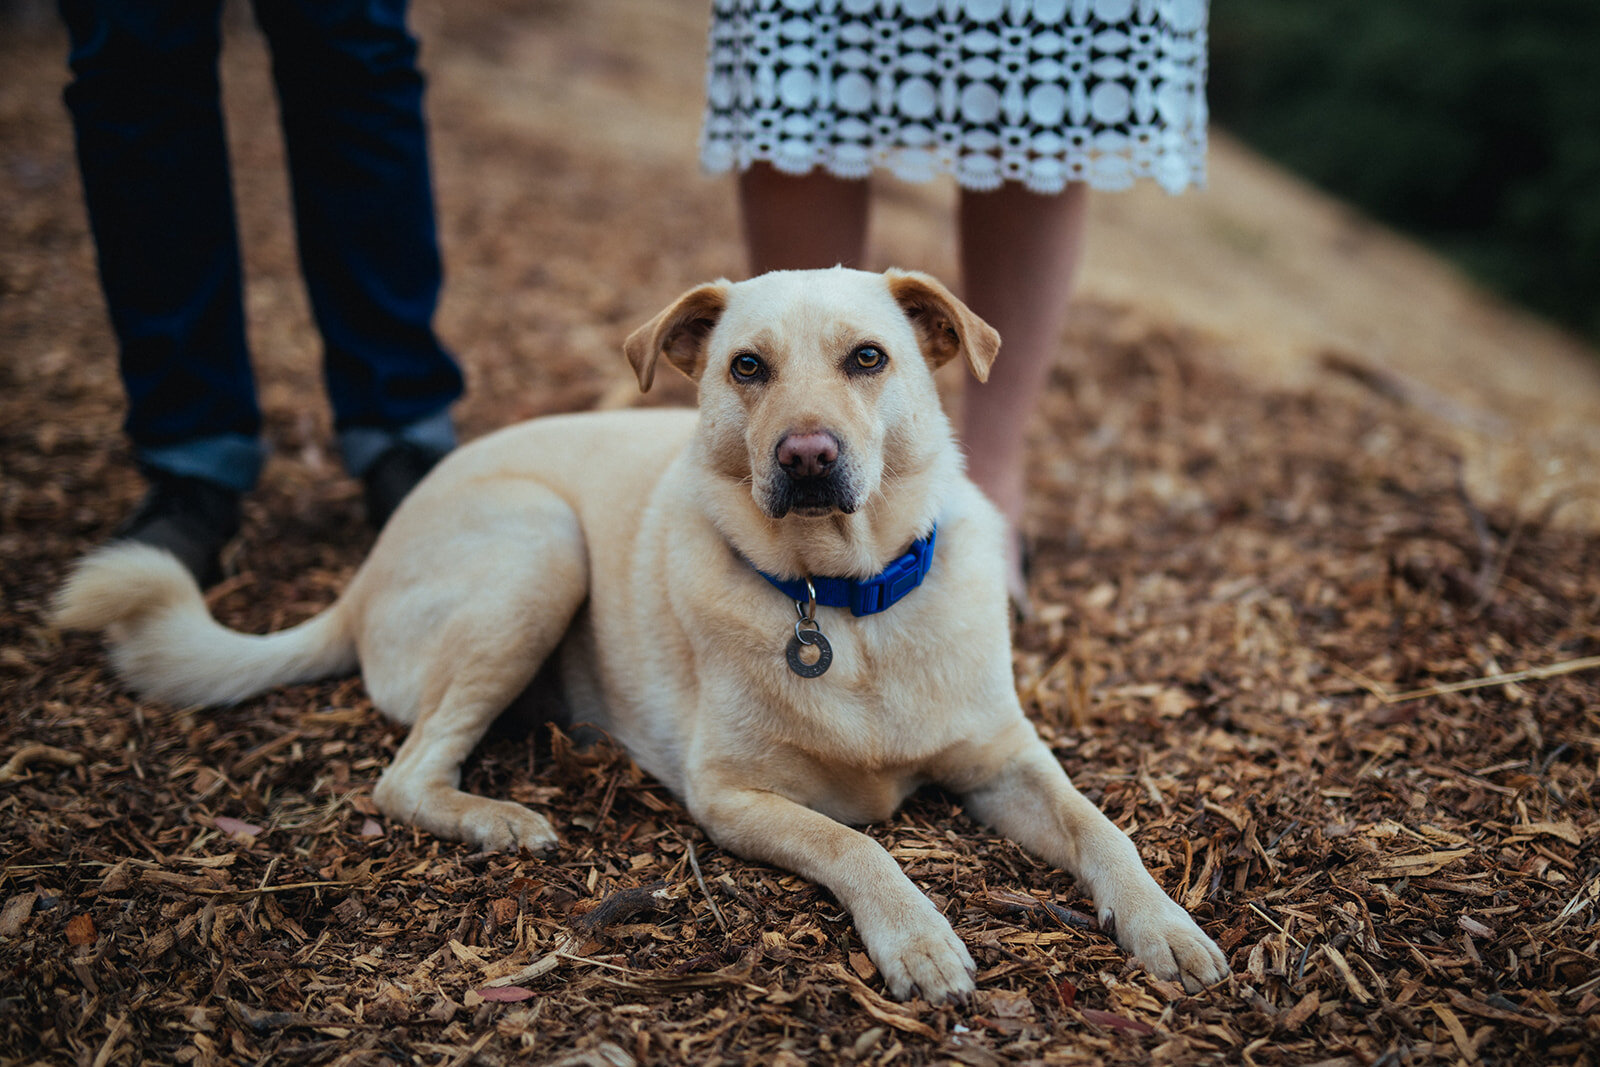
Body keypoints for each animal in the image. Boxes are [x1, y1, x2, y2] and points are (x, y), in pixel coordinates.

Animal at [53, 267, 1222, 1004]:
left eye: (868, 357)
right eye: (746, 367)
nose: (805, 456)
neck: (843, 601)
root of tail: (363, 572)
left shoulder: (1007, 758)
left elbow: (1101, 827)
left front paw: (1166, 924)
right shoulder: (730, 796)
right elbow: (857, 843)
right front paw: (920, 935)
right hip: (539, 548)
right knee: (401, 776)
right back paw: (500, 818)